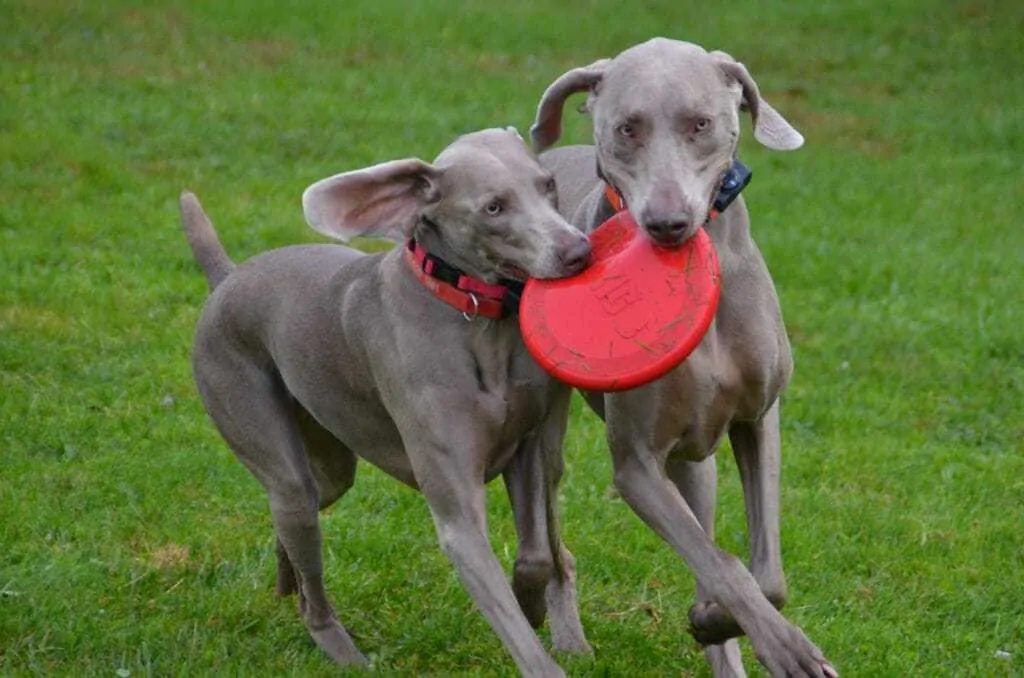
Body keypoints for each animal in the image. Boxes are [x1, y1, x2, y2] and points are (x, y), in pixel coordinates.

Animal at [181, 129, 593, 678]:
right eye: (493, 207)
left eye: (547, 184)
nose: (578, 251)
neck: (474, 316)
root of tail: (227, 277)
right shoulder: (458, 515)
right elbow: (503, 609)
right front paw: (532, 637)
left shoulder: (526, 447)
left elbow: (535, 558)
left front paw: (532, 606)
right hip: (252, 419)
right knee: (305, 556)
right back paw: (342, 649)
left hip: (330, 460)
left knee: (298, 513)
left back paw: (286, 579)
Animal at [532, 38, 835, 678]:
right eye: (627, 128)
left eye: (701, 124)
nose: (666, 225)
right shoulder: (637, 464)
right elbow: (725, 564)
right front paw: (784, 647)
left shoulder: (759, 418)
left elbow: (766, 577)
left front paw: (714, 620)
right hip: (549, 439)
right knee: (555, 540)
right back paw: (569, 636)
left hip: (699, 459)